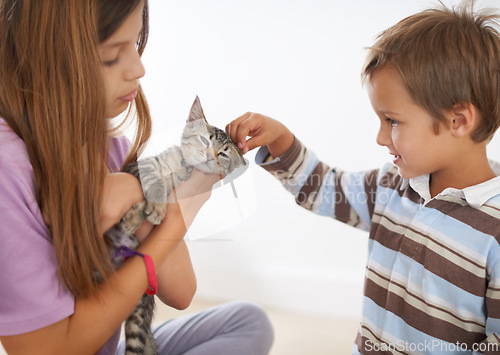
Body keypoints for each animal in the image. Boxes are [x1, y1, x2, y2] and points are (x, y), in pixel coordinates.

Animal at [103, 96, 246, 354]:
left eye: (223, 154)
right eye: (204, 139)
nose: (209, 156)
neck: (180, 167)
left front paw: (144, 212)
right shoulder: (139, 166)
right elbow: (155, 180)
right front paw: (154, 206)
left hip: (137, 316)